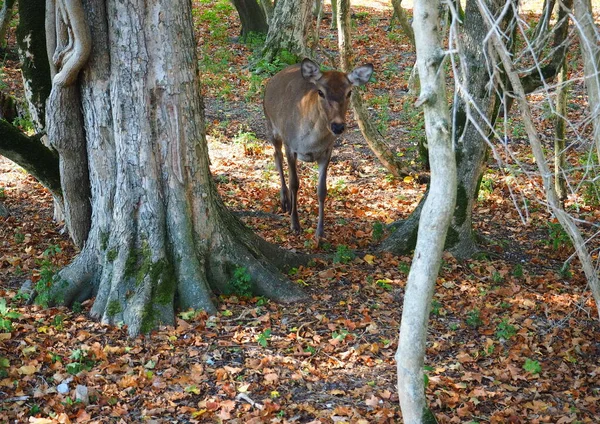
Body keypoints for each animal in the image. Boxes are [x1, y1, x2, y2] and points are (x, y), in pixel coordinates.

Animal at [264, 58, 372, 247]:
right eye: (321, 92)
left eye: (349, 92)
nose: (338, 126)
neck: (310, 142)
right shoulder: (291, 146)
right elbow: (294, 183)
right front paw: (295, 224)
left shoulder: (327, 151)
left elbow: (322, 190)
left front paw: (320, 233)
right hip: (271, 125)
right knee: (276, 155)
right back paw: (285, 200)